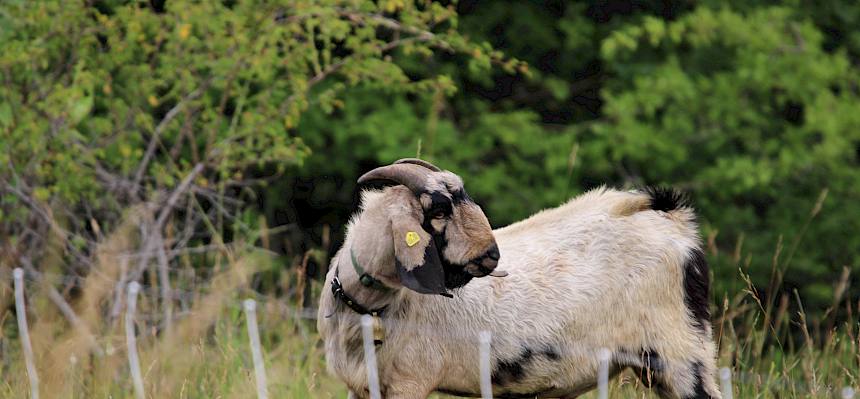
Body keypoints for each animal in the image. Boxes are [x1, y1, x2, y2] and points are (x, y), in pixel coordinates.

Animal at [316, 159, 720, 399]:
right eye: (439, 210)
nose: (492, 255)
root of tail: (670, 219)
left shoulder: (410, 380)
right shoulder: (362, 386)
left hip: (681, 351)